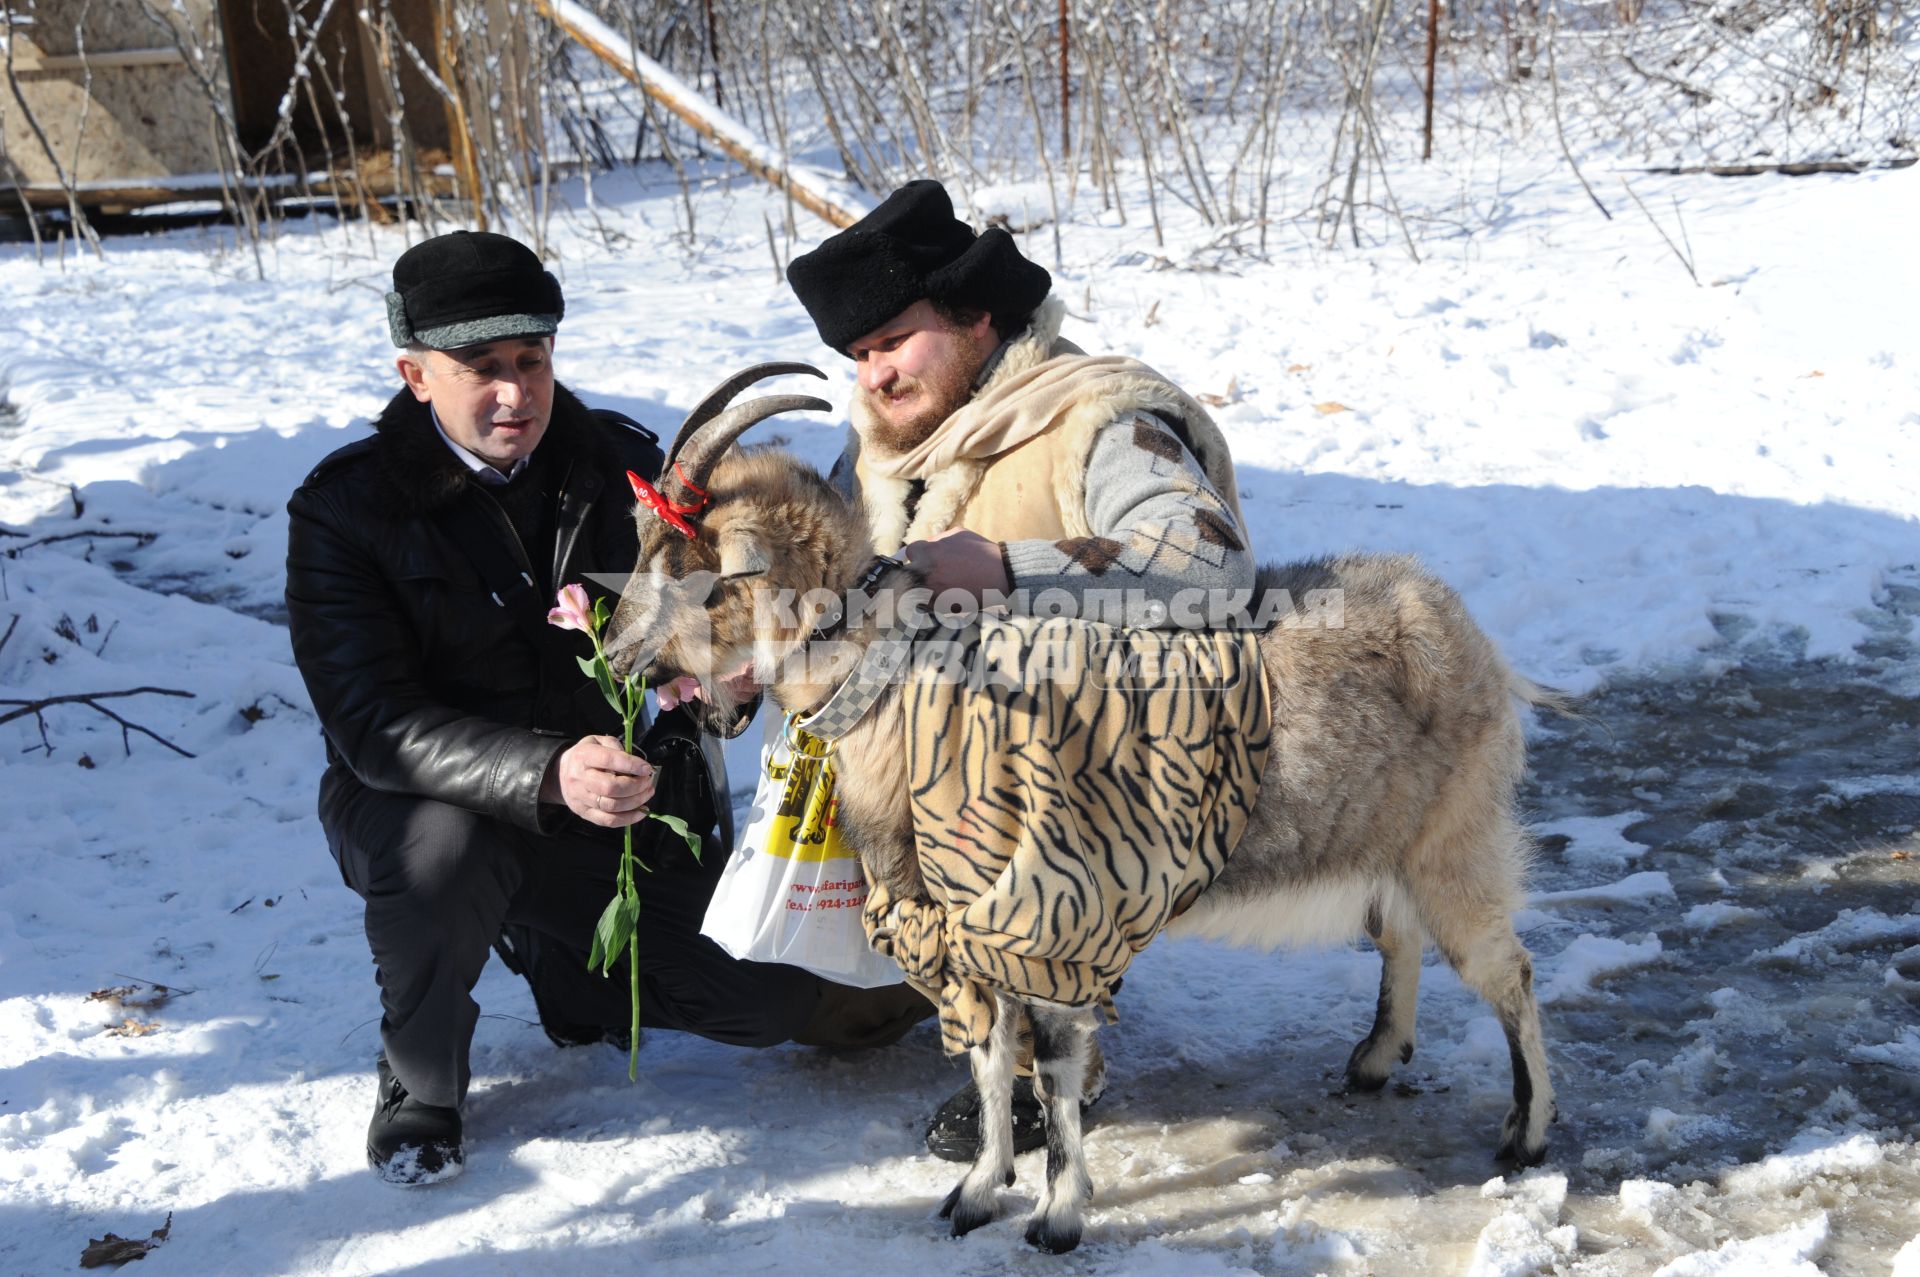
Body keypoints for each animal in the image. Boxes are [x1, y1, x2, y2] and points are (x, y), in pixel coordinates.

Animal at [614, 362, 1559, 1252]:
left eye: (698, 572)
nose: (618, 657)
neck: (908, 685)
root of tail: (1460, 627)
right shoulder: (969, 929)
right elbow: (993, 1057)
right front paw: (976, 1193)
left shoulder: (1055, 919)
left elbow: (1056, 1069)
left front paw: (1058, 1215)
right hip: (1386, 842)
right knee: (1398, 933)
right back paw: (1374, 1060)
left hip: (1458, 840)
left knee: (1507, 969)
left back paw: (1526, 1134)